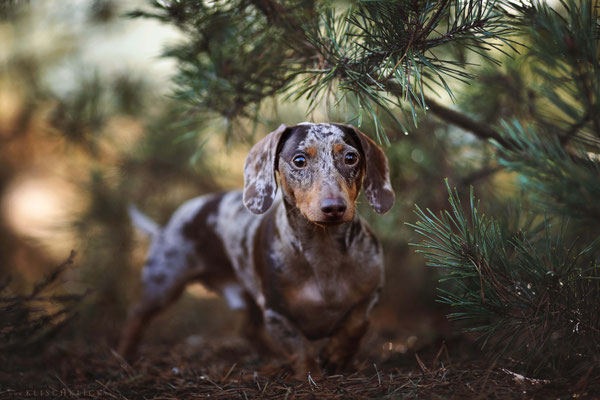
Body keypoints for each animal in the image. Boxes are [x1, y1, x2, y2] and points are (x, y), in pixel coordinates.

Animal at [119, 122, 396, 376]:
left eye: (351, 157)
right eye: (299, 160)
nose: (334, 207)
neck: (323, 255)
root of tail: (167, 225)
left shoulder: (371, 295)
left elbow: (356, 325)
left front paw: (336, 355)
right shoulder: (275, 313)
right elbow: (301, 351)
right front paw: (312, 377)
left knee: (249, 330)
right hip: (163, 285)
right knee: (136, 315)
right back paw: (125, 357)